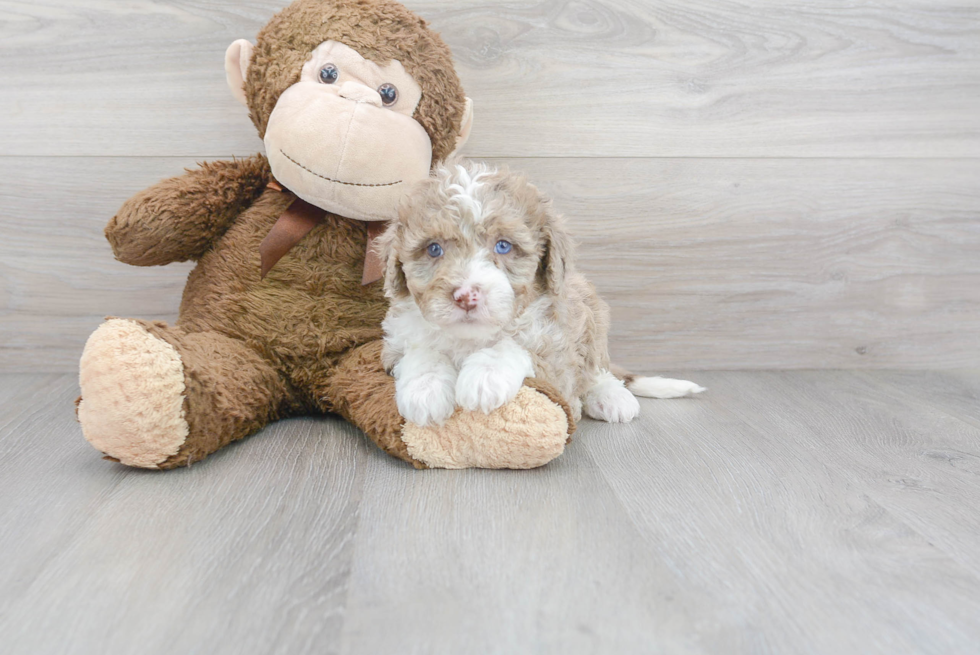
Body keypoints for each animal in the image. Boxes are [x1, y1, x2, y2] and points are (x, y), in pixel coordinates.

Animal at [378, 157, 704, 428]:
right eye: (434, 249)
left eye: (503, 246)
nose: (466, 296)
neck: (471, 338)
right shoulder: (394, 345)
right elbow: (422, 351)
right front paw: (425, 389)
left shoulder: (559, 355)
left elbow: (518, 347)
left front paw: (485, 375)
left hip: (592, 311)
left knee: (597, 368)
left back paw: (611, 396)